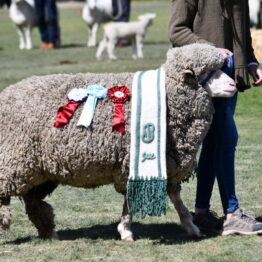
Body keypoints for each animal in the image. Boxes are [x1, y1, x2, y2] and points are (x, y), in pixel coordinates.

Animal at [0, 43, 236, 242]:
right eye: (207, 72)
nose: (233, 84)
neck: (167, 98)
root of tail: (7, 93)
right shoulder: (132, 161)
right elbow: (130, 201)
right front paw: (126, 231)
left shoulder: (167, 161)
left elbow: (176, 198)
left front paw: (191, 226)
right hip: (14, 161)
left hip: (41, 169)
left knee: (33, 202)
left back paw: (49, 233)